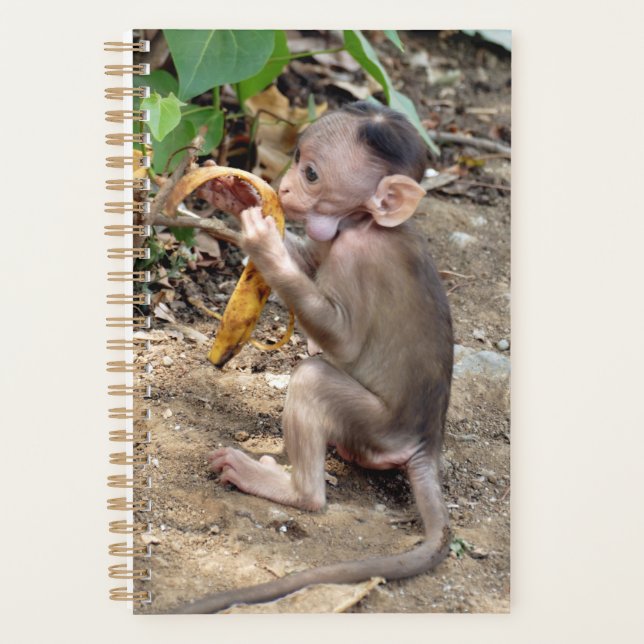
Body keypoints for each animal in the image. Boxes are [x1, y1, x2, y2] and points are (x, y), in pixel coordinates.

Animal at [174, 101, 453, 613]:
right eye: (297, 157)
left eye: (311, 173)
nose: (282, 188)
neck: (364, 222)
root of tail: (426, 443)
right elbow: (308, 259)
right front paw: (235, 195)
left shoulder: (357, 255)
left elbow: (343, 342)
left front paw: (262, 243)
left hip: (377, 428)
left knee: (313, 380)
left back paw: (291, 490)